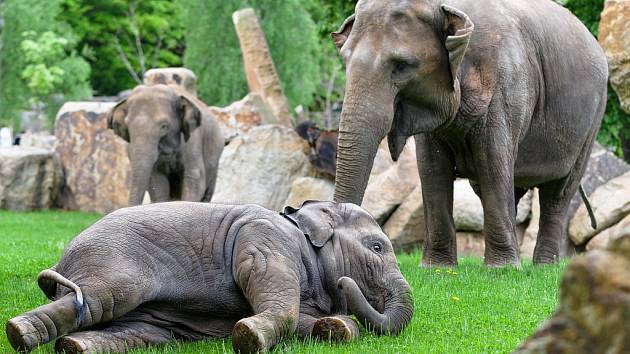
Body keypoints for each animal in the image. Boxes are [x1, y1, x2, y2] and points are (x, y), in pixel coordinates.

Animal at [8, 201, 420, 352]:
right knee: (96, 297)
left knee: (139, 334)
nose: (344, 284)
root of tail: (63, 259)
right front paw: (248, 336)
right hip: (112, 261)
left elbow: (305, 320)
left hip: (145, 323)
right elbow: (276, 299)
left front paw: (336, 327)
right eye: (377, 246)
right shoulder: (266, 239)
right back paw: (19, 333)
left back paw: (74, 347)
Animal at [334, 0, 608, 266]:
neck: (446, 8)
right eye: (344, 60)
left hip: (593, 120)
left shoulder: (503, 87)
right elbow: (432, 167)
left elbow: (491, 161)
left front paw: (502, 271)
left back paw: (543, 267)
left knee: (558, 193)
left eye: (402, 66)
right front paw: (439, 269)